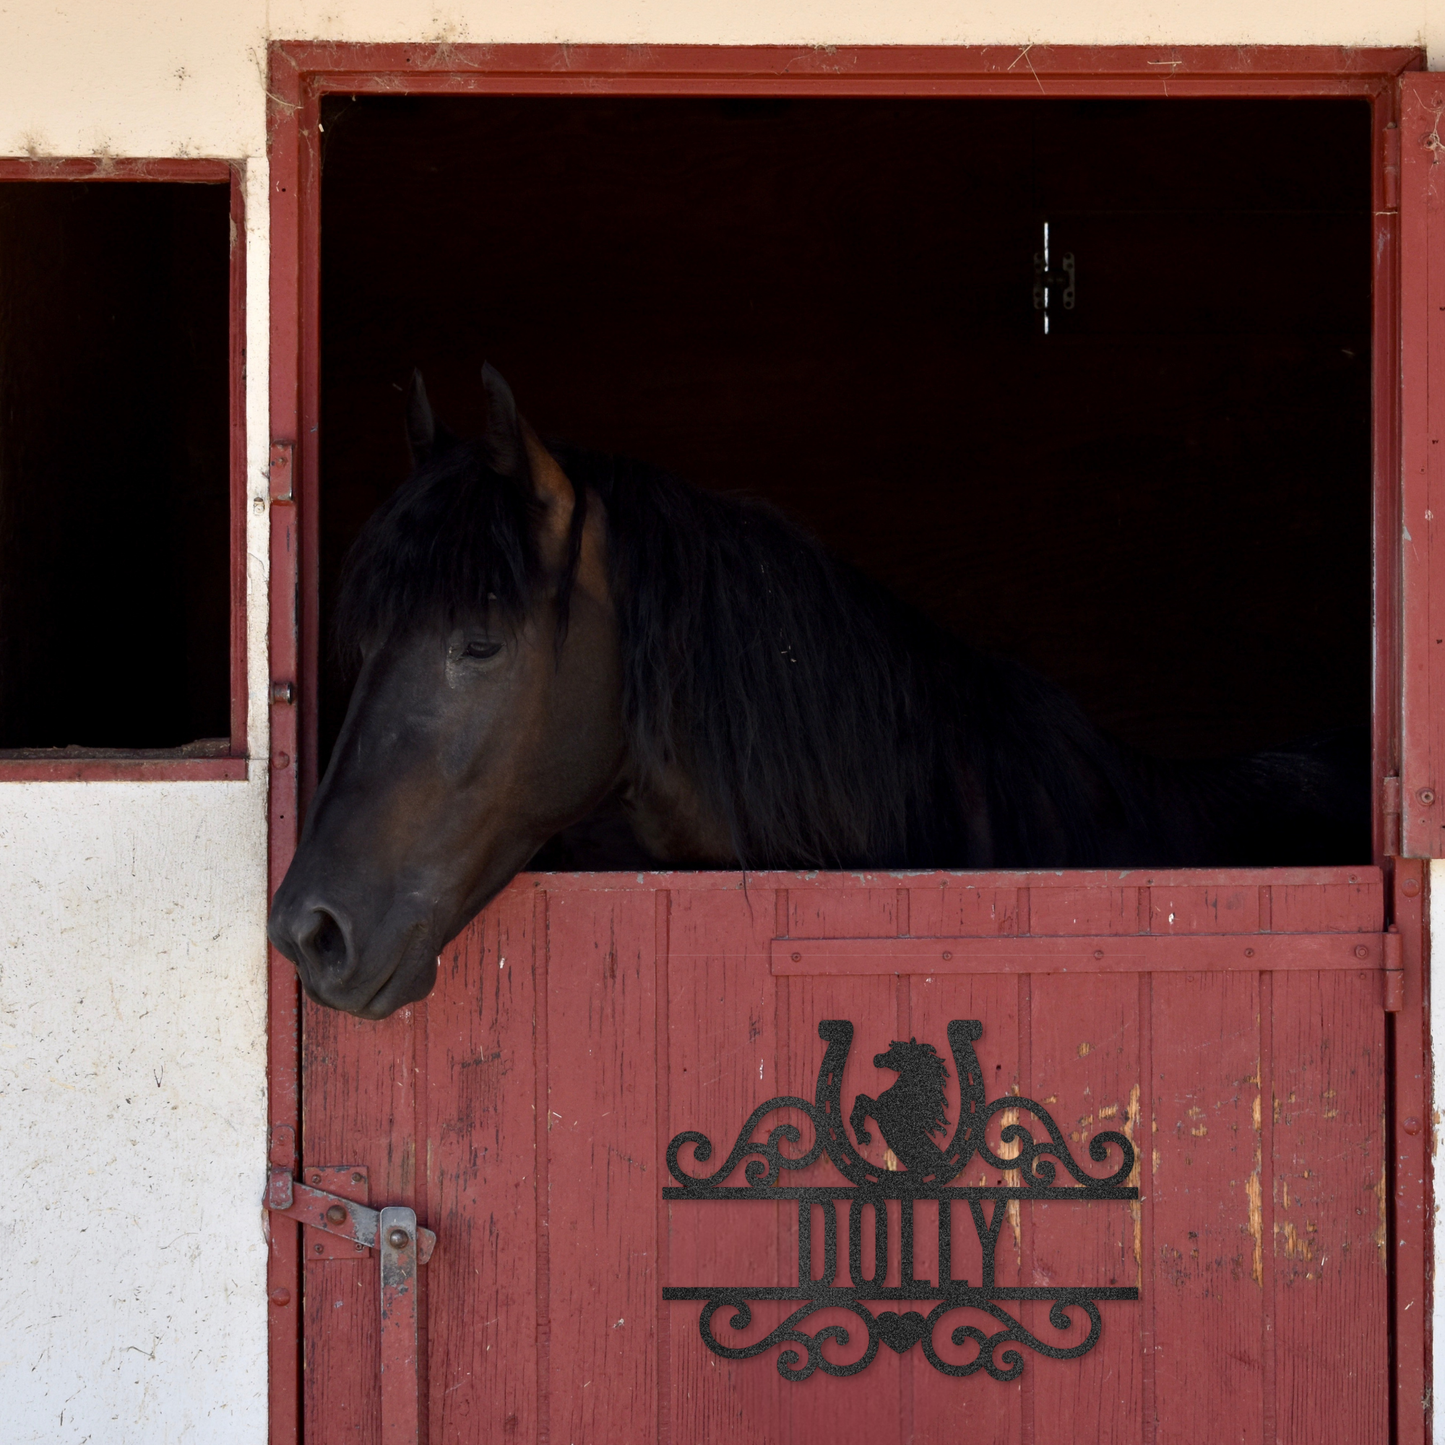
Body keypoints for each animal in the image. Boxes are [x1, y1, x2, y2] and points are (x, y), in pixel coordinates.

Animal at [849, 1039, 953, 1176]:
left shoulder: (880, 1112)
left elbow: (861, 1100)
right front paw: (863, 1136)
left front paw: (863, 1136)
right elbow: (860, 1099)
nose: (877, 1058)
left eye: (898, 1051)